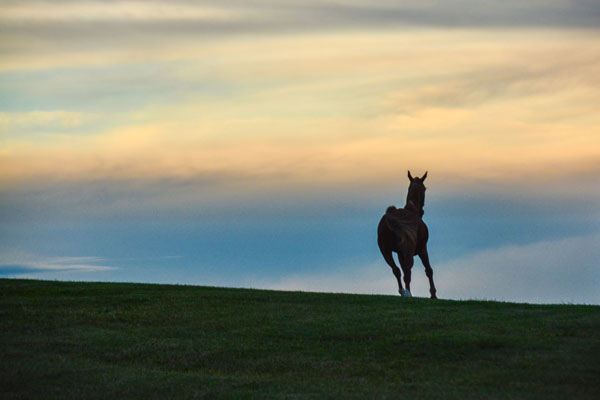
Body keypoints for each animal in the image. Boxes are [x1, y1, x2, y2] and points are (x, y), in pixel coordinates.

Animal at [378, 170, 438, 298]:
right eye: (424, 188)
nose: (422, 211)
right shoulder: (422, 248)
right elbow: (428, 270)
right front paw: (433, 295)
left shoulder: (400, 253)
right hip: (409, 251)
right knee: (407, 271)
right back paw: (408, 293)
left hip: (385, 251)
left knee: (396, 270)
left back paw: (402, 291)